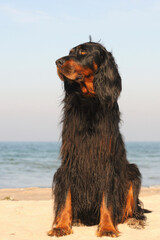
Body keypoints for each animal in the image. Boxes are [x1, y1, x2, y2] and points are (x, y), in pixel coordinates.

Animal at [47, 40, 145, 236]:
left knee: (133, 209)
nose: (57, 62)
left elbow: (107, 199)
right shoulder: (70, 158)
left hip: (132, 172)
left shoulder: (106, 160)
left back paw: (133, 220)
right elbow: (66, 196)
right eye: (70, 52)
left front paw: (107, 227)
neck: (89, 98)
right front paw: (62, 226)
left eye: (83, 52)